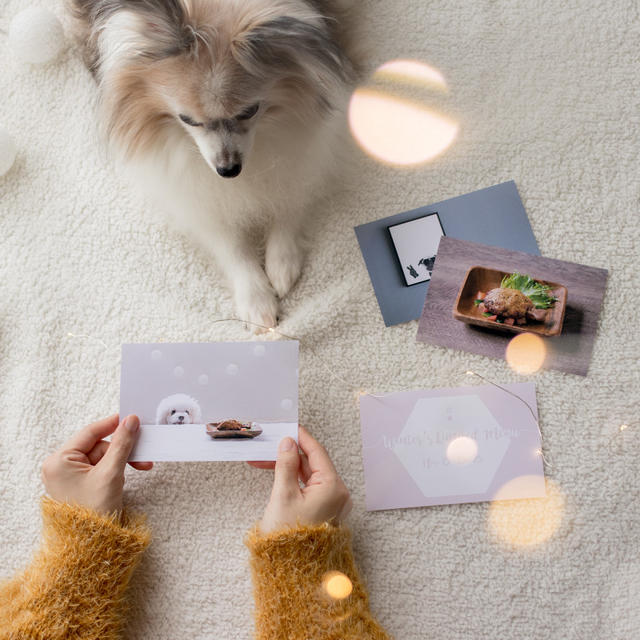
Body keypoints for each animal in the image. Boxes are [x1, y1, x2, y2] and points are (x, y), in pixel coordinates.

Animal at [70, 1, 360, 330]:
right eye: (188, 120)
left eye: (250, 111)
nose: (228, 170)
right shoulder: (194, 196)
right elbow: (229, 243)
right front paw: (256, 299)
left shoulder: (307, 146)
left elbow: (290, 197)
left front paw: (281, 262)